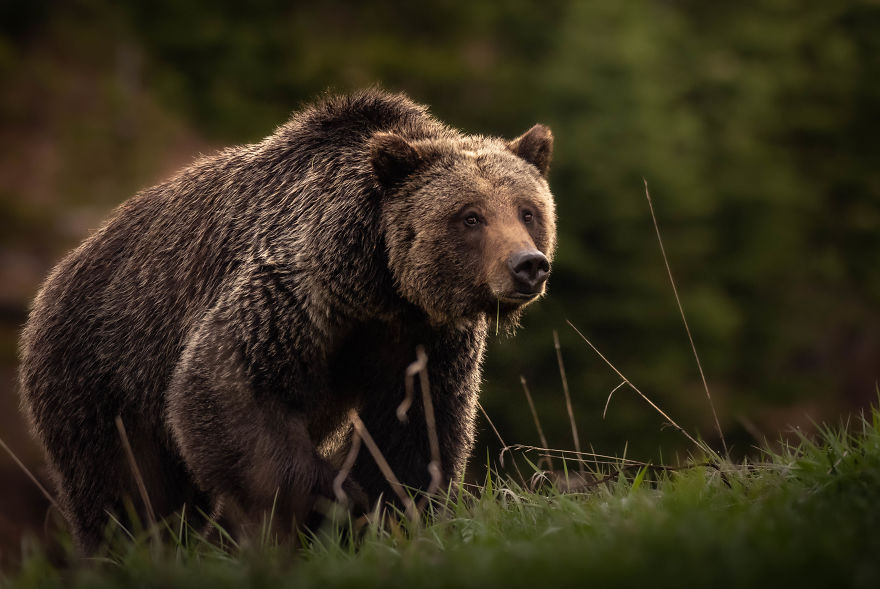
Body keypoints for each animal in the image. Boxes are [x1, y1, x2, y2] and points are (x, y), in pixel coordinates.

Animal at [18, 89, 556, 553]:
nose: (527, 265)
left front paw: (388, 512)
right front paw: (337, 501)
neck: (379, 284)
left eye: (528, 211)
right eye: (470, 216)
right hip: (102, 370)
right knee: (123, 492)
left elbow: (416, 427)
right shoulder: (297, 293)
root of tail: (56, 276)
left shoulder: (423, 337)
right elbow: (231, 392)